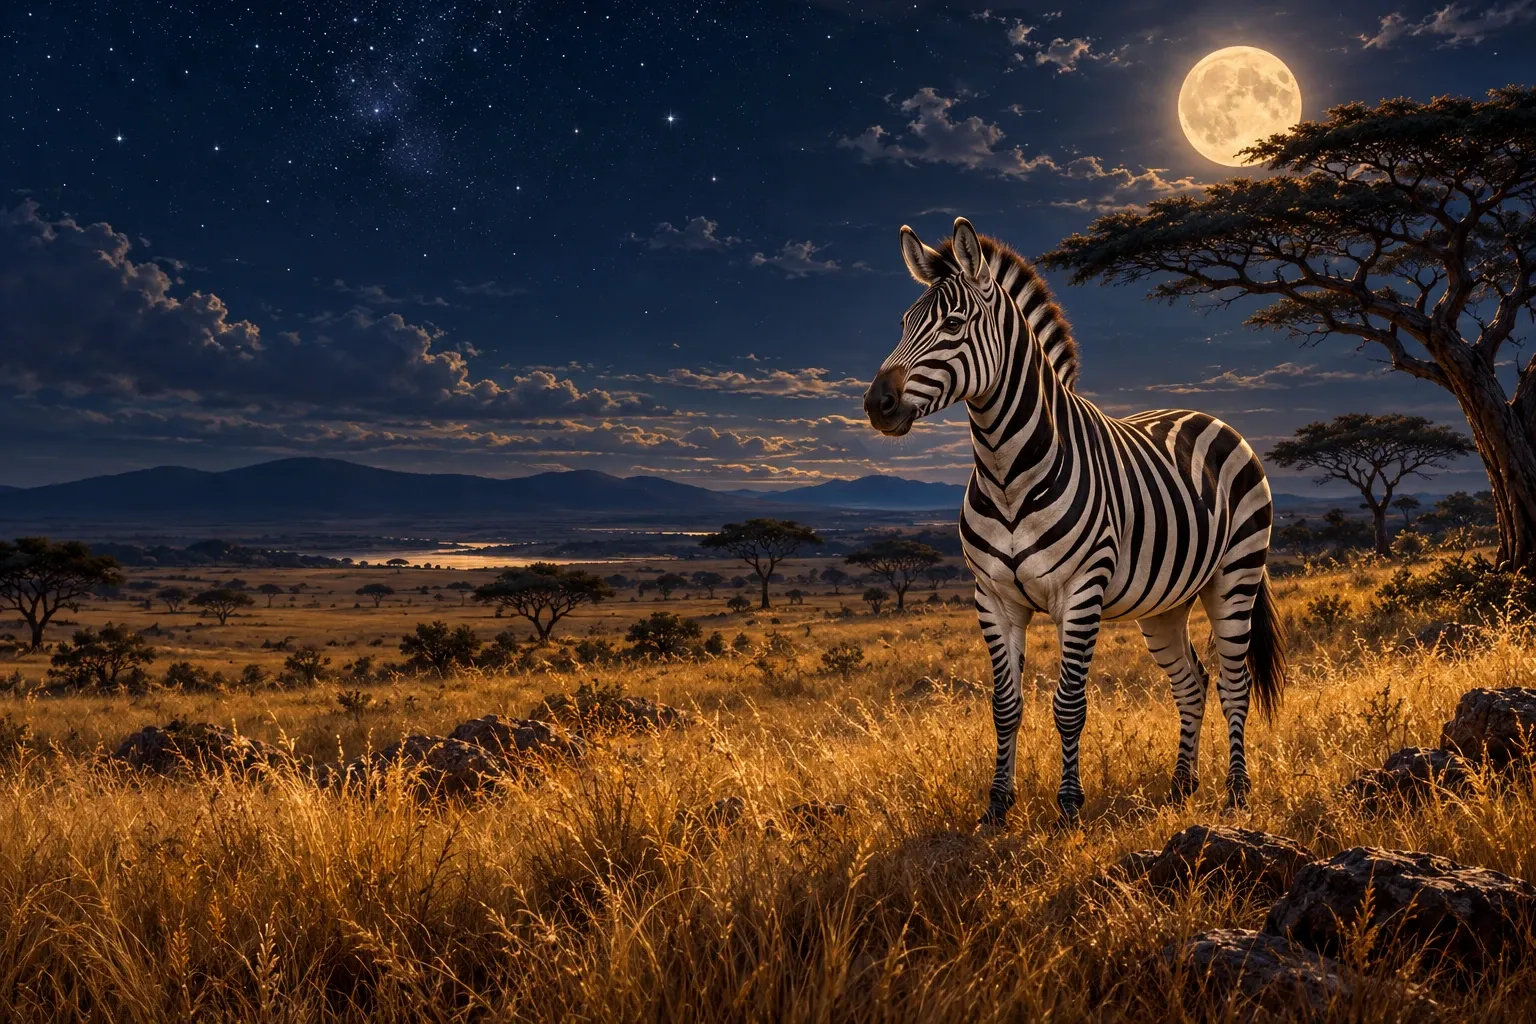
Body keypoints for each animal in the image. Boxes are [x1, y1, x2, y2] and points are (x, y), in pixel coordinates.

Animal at [863, 217, 1286, 828]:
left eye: (953, 324)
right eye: (902, 324)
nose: (877, 404)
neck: (1006, 470)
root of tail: (1208, 416)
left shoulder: (1081, 591)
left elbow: (1068, 705)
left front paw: (1067, 807)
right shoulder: (992, 597)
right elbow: (1005, 706)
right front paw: (997, 806)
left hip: (1235, 576)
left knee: (1233, 682)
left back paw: (1236, 794)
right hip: (1166, 602)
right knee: (1192, 683)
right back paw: (1180, 787)